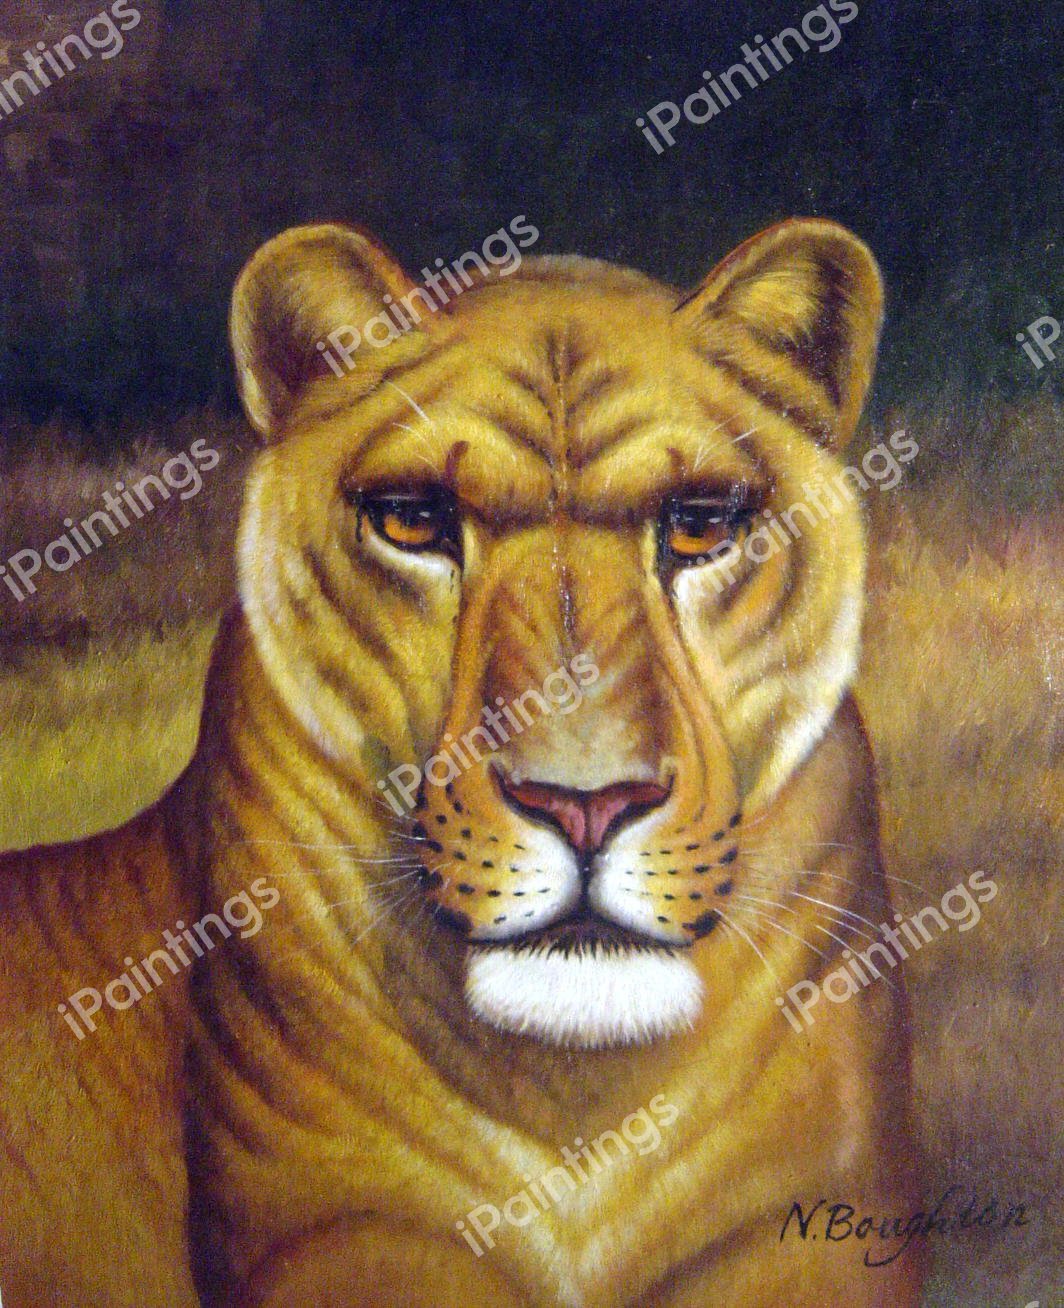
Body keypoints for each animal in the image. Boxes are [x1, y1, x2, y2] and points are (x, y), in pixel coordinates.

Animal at [0, 217, 925, 1306]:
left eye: (701, 525)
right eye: (414, 520)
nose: (584, 806)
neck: (576, 1107)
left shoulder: (807, 1227)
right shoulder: (340, 1236)